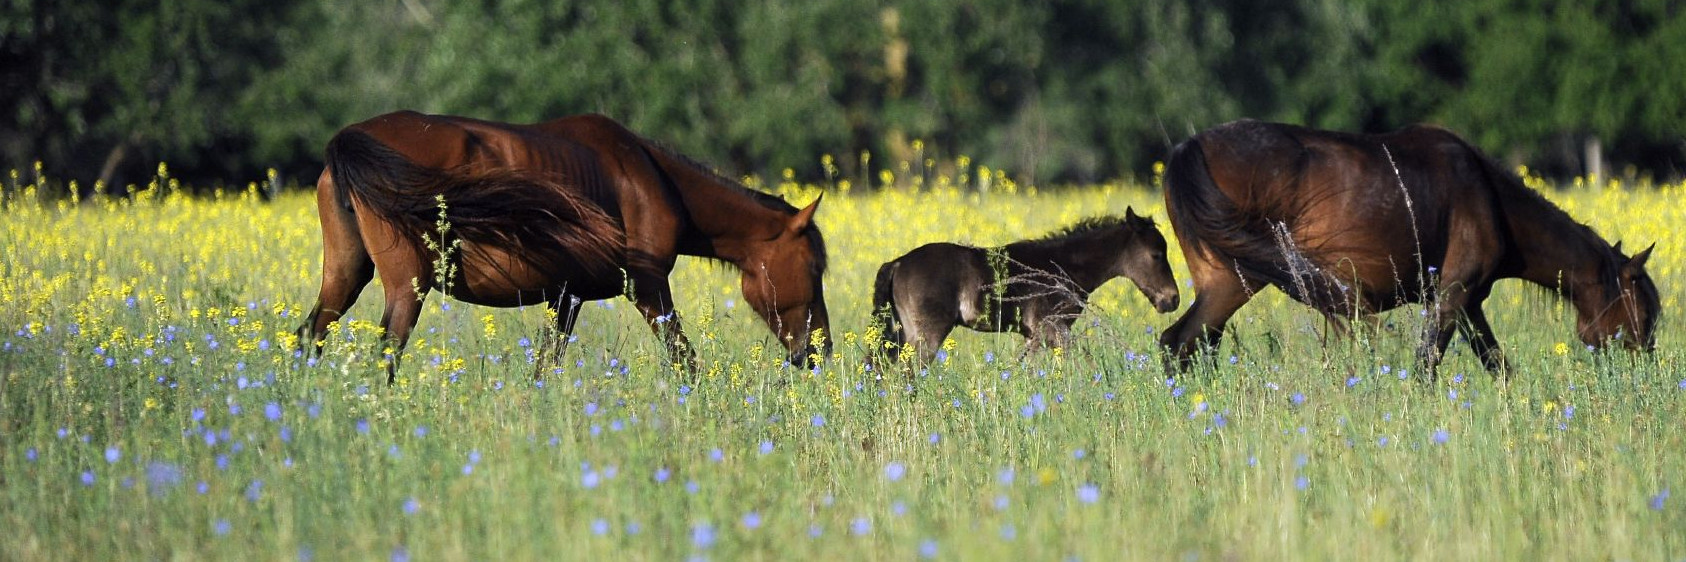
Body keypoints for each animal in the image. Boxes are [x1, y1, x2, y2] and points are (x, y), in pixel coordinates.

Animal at [297, 111, 831, 381]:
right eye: (813, 268)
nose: (818, 351)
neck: (648, 177)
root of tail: (351, 138)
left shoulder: (564, 297)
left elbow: (545, 366)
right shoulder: (648, 288)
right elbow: (686, 361)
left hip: (346, 276)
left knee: (309, 337)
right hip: (407, 287)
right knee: (385, 354)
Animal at [871, 208, 1180, 364]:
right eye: (1157, 254)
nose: (1173, 299)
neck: (1062, 265)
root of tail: (898, 263)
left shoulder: (1035, 335)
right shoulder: (1052, 328)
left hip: (903, 332)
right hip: (927, 335)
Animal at [1159, 119, 1659, 377]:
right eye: (1645, 311)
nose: (1646, 369)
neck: (1491, 200)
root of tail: (1188, 148)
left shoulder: (1468, 303)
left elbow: (1497, 364)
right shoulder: (1453, 296)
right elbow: (1426, 366)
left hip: (1221, 282)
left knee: (1183, 345)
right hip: (1237, 281)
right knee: (1180, 343)